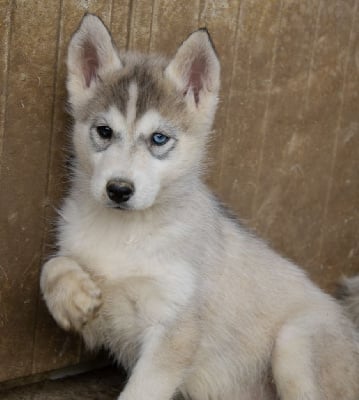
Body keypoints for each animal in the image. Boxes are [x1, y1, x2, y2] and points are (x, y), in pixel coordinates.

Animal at [40, 14, 359, 398]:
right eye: (104, 131)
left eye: (159, 138)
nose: (118, 190)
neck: (127, 233)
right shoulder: (104, 321)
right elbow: (52, 264)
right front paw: (71, 298)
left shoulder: (174, 329)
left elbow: (141, 390)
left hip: (295, 343)